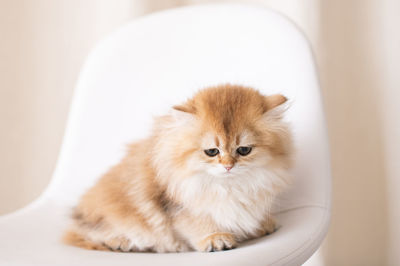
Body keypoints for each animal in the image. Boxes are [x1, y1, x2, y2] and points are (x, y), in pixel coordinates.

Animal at [64, 84, 292, 252]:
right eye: (212, 152)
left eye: (244, 150)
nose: (228, 166)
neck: (229, 186)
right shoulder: (176, 206)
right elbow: (198, 224)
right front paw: (215, 238)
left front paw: (261, 225)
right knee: (85, 234)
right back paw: (120, 241)